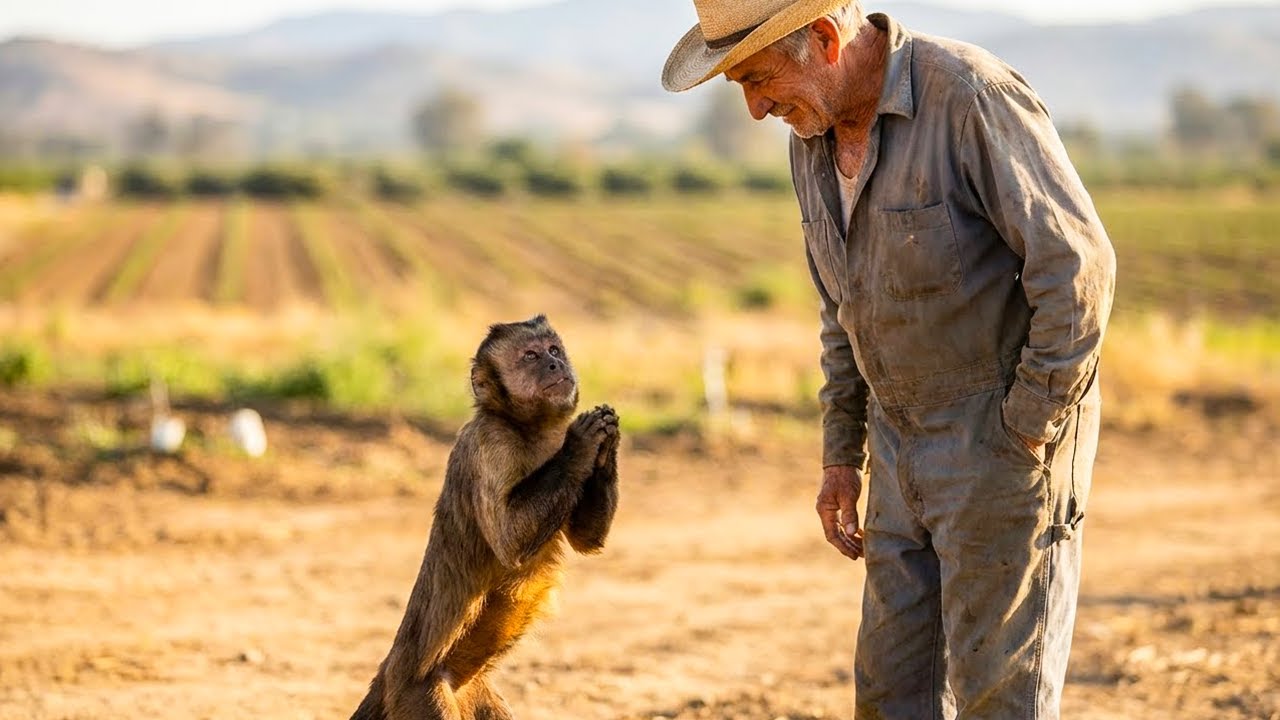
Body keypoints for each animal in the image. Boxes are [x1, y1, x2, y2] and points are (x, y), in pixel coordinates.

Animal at [351, 315, 620, 720]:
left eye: (554, 350)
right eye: (530, 356)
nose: (554, 364)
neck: (526, 427)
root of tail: (386, 677)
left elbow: (587, 540)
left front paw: (607, 445)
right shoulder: (490, 443)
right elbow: (509, 542)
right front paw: (582, 442)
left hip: (474, 692)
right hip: (418, 695)